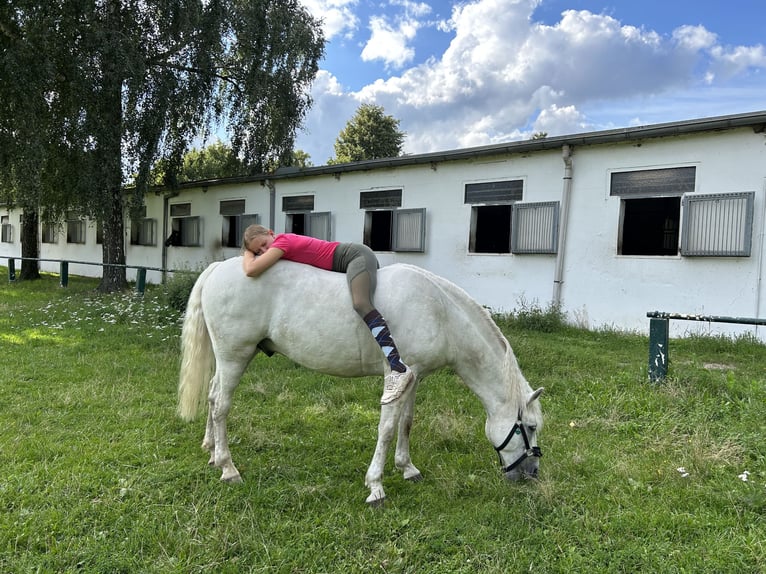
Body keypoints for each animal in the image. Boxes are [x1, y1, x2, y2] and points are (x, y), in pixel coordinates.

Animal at [178, 258, 544, 506]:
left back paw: (211, 451)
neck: (440, 312)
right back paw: (228, 468)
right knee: (221, 405)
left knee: (212, 395)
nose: (532, 474)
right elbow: (386, 429)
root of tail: (219, 268)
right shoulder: (396, 378)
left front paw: (407, 468)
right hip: (235, 356)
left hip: (227, 358)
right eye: (530, 427)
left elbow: (407, 423)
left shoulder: (414, 377)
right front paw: (376, 485)